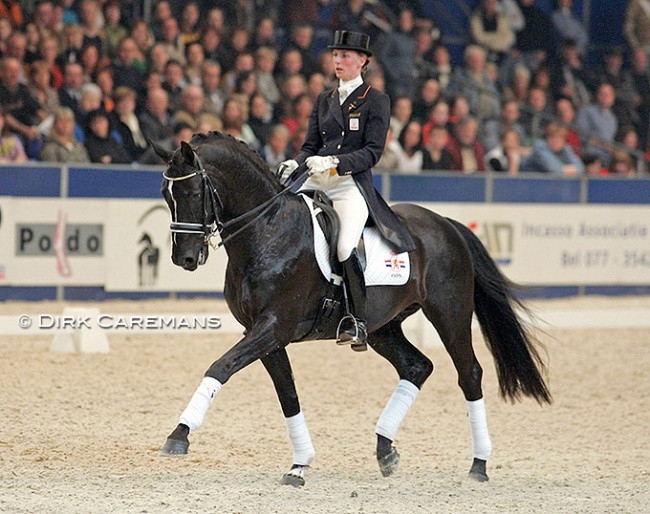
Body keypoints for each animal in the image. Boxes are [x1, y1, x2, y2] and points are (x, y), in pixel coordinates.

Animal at [154, 131, 548, 484]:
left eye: (192, 192)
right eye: (165, 195)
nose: (184, 259)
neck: (267, 231)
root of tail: (446, 223)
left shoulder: (274, 326)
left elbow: (221, 367)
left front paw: (178, 435)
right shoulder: (262, 332)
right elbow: (287, 394)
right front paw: (299, 465)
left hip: (449, 315)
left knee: (469, 374)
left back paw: (478, 465)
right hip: (382, 326)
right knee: (417, 366)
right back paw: (386, 452)